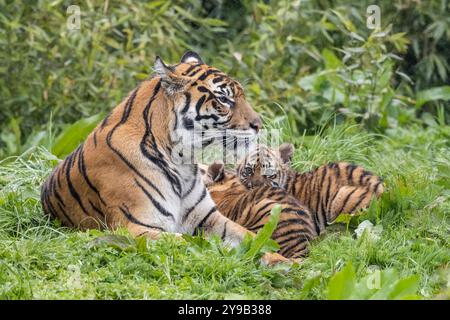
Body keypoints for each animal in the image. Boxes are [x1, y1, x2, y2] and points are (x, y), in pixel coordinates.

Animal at [40, 50, 286, 264]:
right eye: (224, 100)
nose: (259, 124)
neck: (182, 161)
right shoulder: (138, 228)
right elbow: (198, 246)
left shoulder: (208, 218)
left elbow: (252, 237)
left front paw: (285, 262)